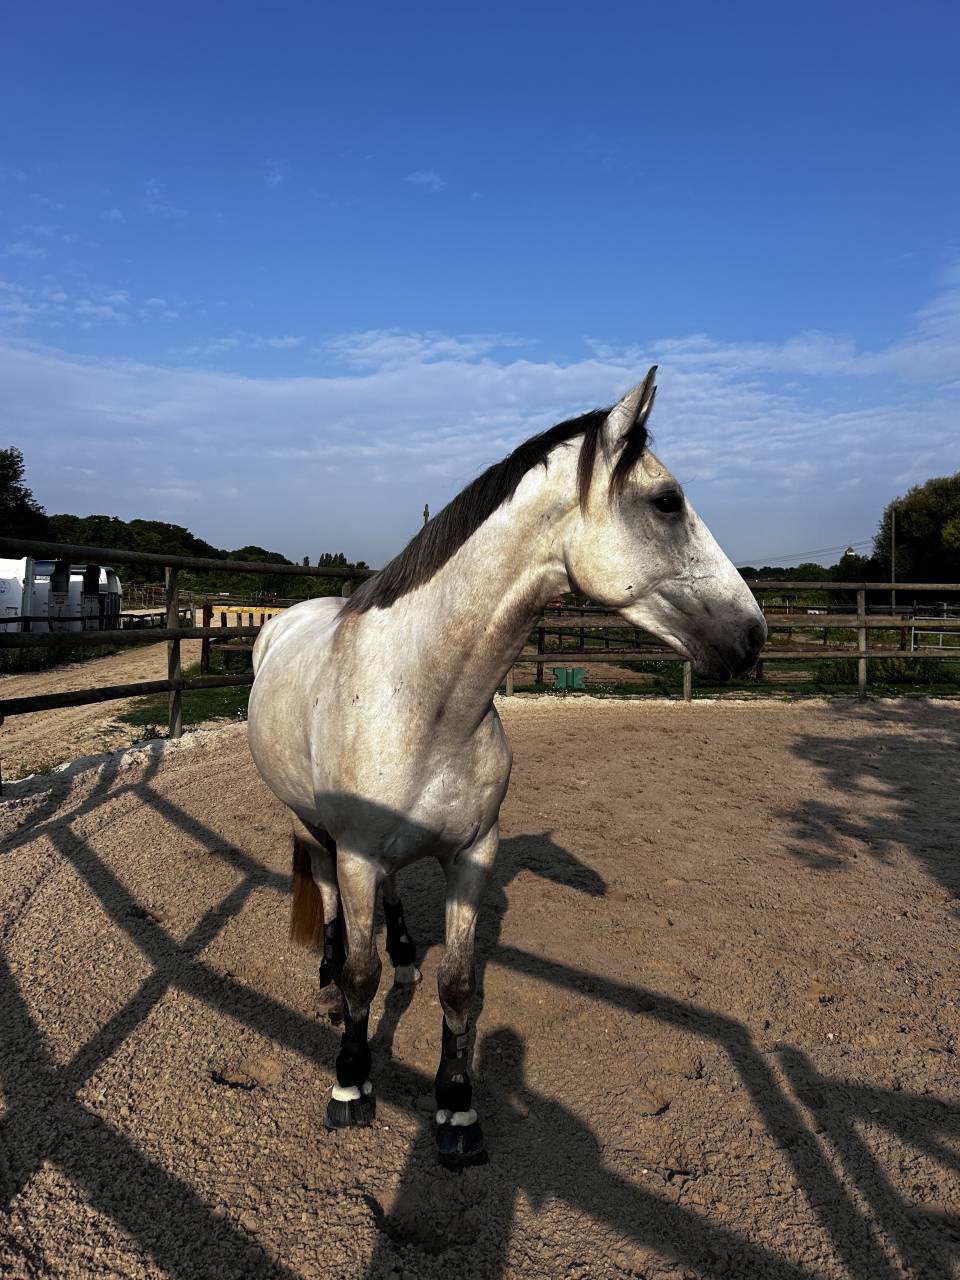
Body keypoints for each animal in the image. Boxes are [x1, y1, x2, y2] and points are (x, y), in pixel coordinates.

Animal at [247, 367, 766, 1169]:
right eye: (667, 501)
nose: (753, 634)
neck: (421, 699)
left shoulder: (471, 854)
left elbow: (459, 987)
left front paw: (457, 1110)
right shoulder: (360, 852)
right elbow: (363, 973)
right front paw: (351, 1083)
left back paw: (404, 953)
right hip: (308, 826)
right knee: (330, 898)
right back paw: (329, 985)